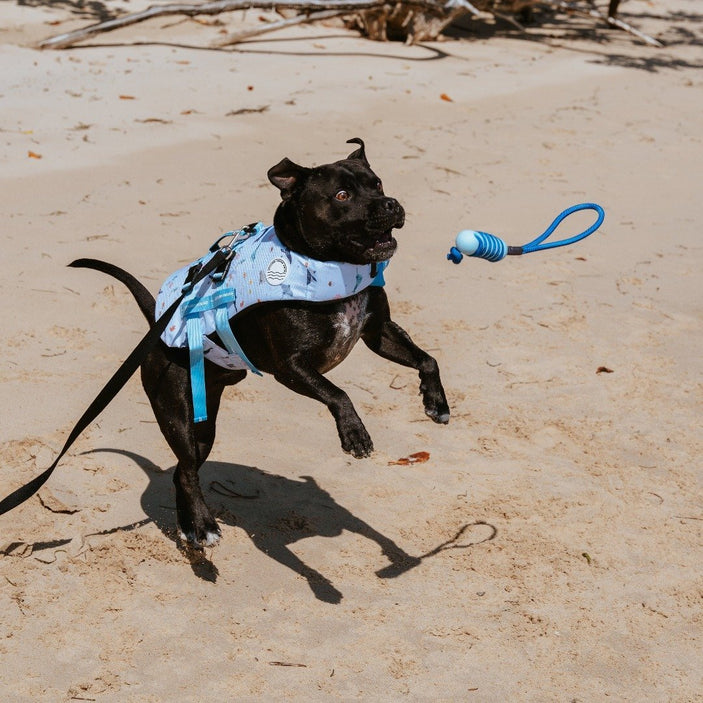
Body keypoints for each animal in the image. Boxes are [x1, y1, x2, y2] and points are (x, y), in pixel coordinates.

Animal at [73, 140, 452, 548]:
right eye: (342, 195)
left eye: (377, 183)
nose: (391, 204)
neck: (323, 264)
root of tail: (156, 323)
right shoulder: (292, 367)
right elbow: (339, 394)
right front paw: (354, 432)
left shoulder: (378, 333)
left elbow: (427, 360)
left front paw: (436, 403)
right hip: (177, 414)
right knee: (187, 470)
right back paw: (204, 525)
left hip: (203, 429)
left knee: (182, 473)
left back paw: (192, 528)